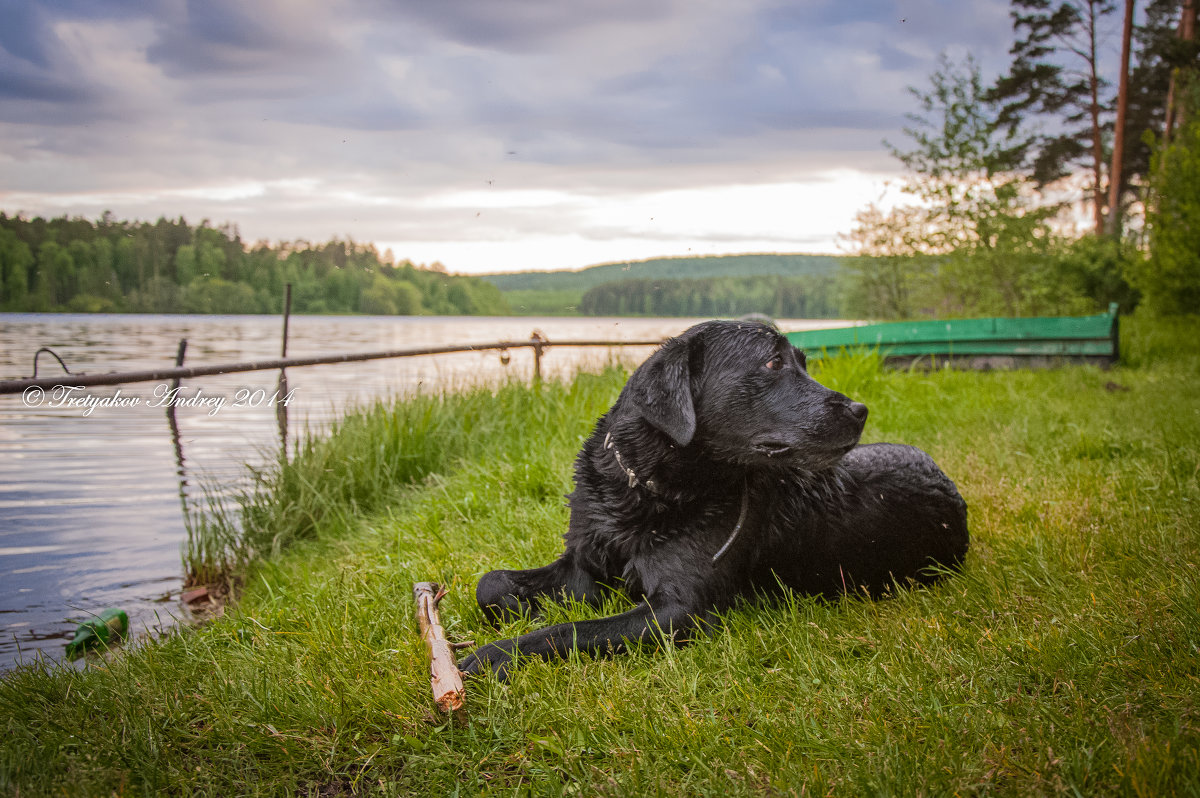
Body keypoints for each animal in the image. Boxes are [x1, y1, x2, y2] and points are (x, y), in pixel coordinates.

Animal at [456, 319, 964, 676]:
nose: (860, 411)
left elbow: (569, 630)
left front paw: (497, 654)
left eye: (802, 362)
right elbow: (491, 582)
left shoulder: (680, 611)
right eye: (773, 363)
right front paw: (521, 609)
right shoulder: (583, 563)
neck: (643, 489)